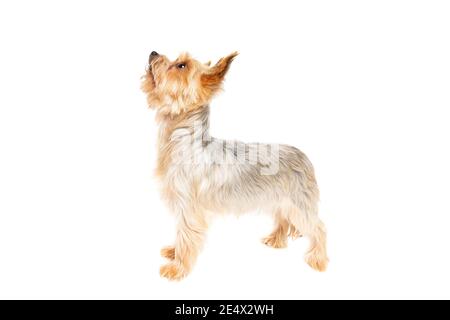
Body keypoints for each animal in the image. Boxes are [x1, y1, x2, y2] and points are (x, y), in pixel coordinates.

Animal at [141, 50, 326, 280]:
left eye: (181, 65)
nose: (153, 52)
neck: (182, 140)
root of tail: (304, 156)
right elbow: (181, 232)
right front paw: (174, 253)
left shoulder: (188, 206)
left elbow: (186, 234)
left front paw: (177, 267)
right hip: (281, 200)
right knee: (283, 219)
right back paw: (275, 240)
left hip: (299, 203)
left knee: (318, 227)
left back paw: (318, 260)